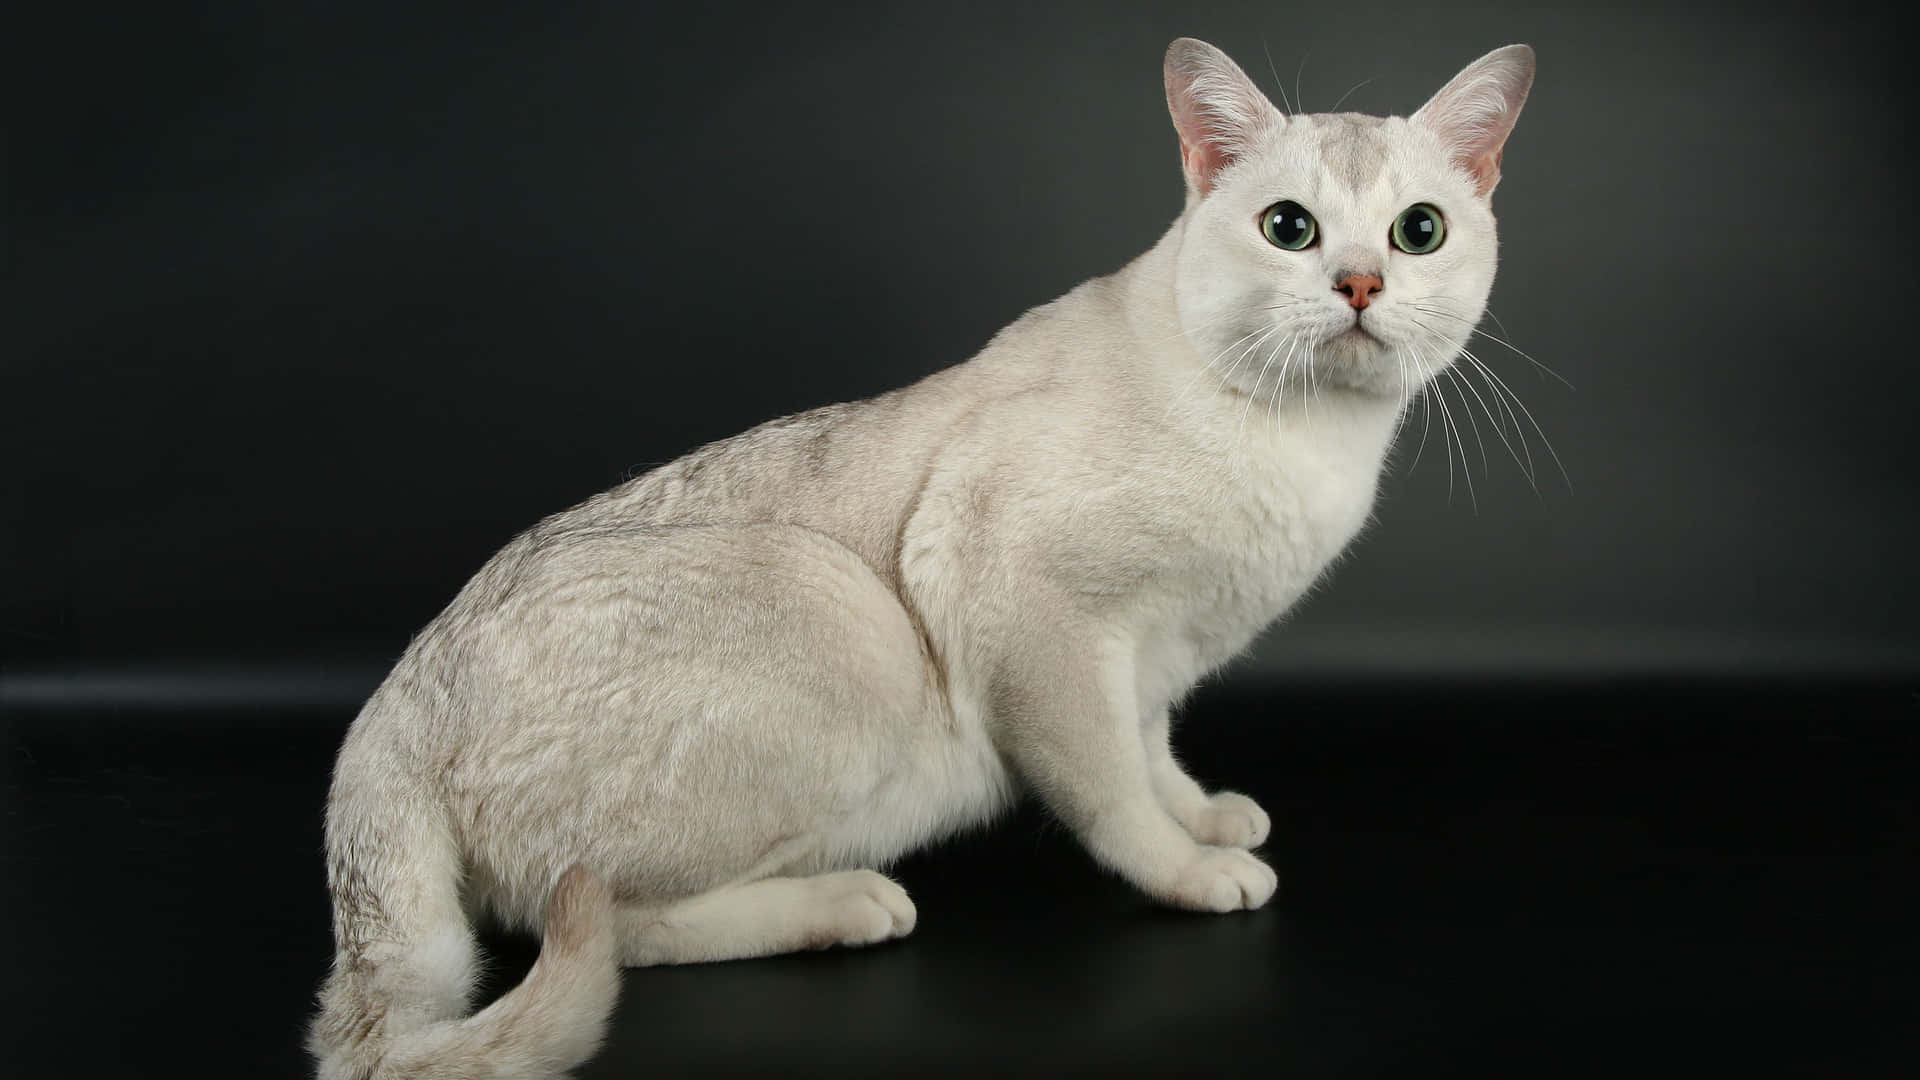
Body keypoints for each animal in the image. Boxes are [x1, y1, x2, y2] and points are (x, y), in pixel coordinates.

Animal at [307, 37, 1536, 1076]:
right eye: (1290, 227)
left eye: (1418, 232)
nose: (1361, 284)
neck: (1314, 447)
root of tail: (389, 712)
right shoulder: (1036, 605)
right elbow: (1109, 789)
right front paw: (1190, 871)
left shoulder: (1152, 655)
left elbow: (1150, 751)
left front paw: (1205, 814)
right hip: (848, 615)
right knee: (613, 923)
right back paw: (845, 903)